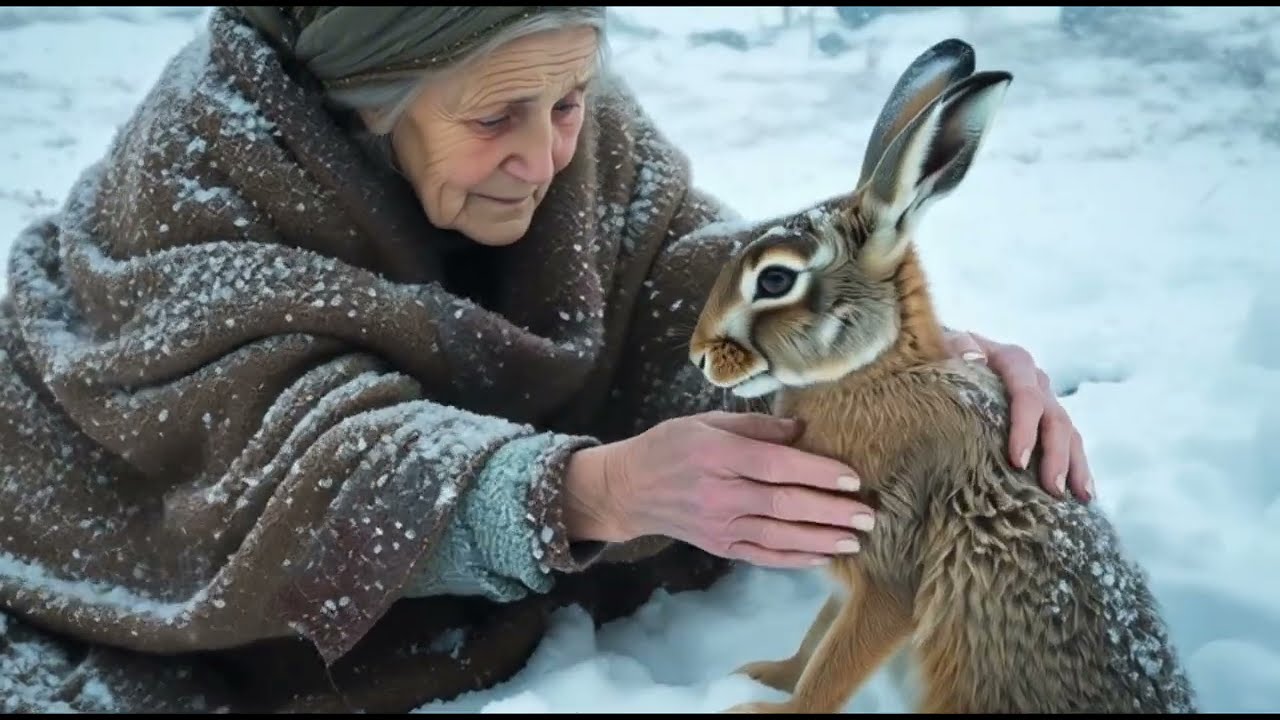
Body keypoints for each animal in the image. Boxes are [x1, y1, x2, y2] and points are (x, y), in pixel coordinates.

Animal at [686, 38, 1198, 714]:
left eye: (774, 279)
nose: (698, 354)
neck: (873, 372)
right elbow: (817, 636)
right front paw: (765, 676)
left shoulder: (889, 564)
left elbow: (835, 665)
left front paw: (764, 708)